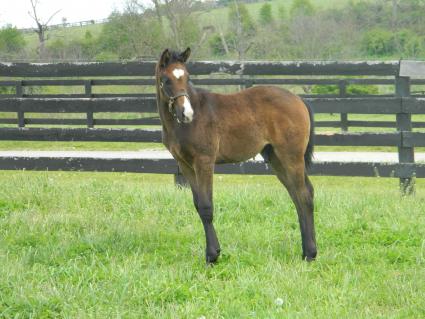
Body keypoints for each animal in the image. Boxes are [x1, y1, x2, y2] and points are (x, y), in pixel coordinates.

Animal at [156, 47, 314, 262]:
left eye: (187, 77)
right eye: (166, 80)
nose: (187, 114)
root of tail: (298, 99)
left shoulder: (204, 161)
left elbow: (206, 206)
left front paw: (212, 256)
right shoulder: (185, 165)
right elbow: (198, 205)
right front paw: (212, 253)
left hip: (291, 156)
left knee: (304, 196)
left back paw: (311, 254)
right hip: (276, 158)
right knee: (298, 196)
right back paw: (306, 251)